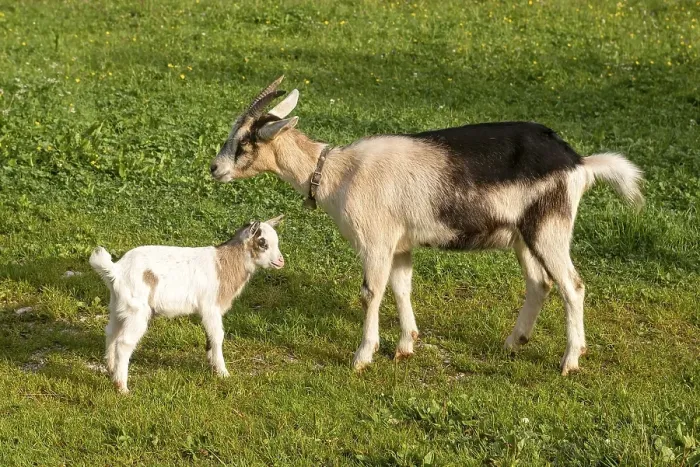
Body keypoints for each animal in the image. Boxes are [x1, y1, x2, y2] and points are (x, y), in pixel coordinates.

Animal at [89, 216, 285, 393]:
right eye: (262, 242)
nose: (281, 261)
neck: (224, 265)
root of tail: (117, 270)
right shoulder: (210, 306)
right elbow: (217, 336)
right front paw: (223, 373)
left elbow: (209, 336)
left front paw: (212, 365)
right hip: (137, 310)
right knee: (124, 343)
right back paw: (122, 387)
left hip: (118, 305)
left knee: (111, 331)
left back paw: (111, 368)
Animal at [209, 76, 643, 375]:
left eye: (244, 142)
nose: (215, 169)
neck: (336, 172)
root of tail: (578, 162)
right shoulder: (400, 244)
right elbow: (402, 288)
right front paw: (405, 345)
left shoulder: (376, 241)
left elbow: (371, 293)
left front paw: (362, 357)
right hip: (524, 235)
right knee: (541, 283)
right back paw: (512, 342)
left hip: (549, 228)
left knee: (573, 285)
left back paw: (570, 361)